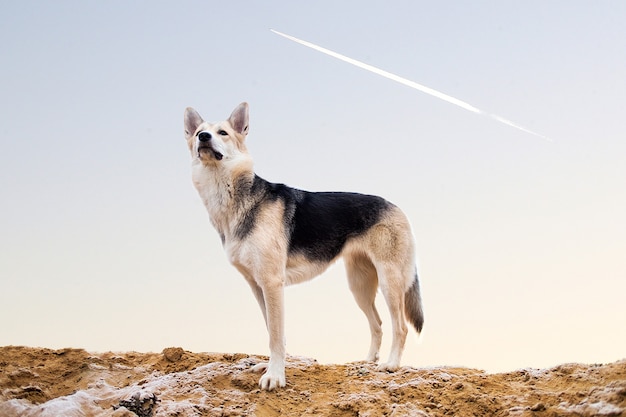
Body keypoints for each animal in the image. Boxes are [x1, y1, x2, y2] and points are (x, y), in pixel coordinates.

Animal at [183, 102, 422, 388]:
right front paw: (272, 367)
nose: (203, 137)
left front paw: (275, 376)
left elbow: (276, 335)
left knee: (401, 326)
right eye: (199, 131)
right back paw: (368, 361)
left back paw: (391, 364)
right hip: (359, 286)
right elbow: (272, 331)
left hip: (390, 282)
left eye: (222, 133)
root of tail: (395, 206)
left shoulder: (272, 284)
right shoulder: (258, 286)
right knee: (377, 324)